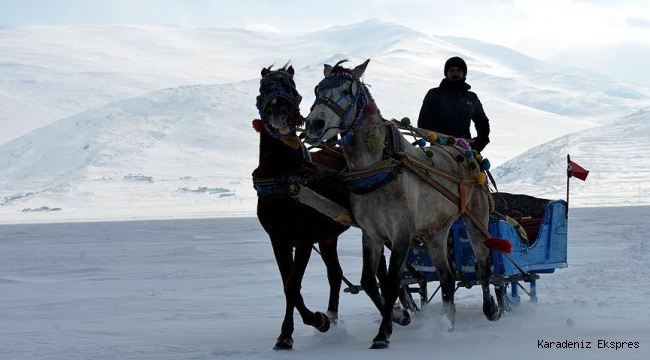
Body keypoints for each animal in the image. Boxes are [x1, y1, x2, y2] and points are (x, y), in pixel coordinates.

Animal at [251, 63, 350, 350]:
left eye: (292, 90)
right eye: (264, 88)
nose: (278, 114)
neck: (284, 178)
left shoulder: (304, 239)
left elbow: (292, 285)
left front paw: (315, 321)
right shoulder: (279, 240)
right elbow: (289, 286)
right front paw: (289, 333)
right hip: (328, 237)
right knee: (335, 274)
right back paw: (333, 316)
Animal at [306, 59, 506, 348]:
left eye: (347, 90)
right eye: (317, 89)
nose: (314, 124)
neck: (379, 168)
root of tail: (467, 151)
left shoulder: (402, 233)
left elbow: (391, 282)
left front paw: (383, 334)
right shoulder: (372, 233)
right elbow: (369, 281)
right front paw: (400, 317)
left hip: (475, 220)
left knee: (483, 266)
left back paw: (491, 309)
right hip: (436, 231)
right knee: (447, 277)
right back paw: (447, 322)